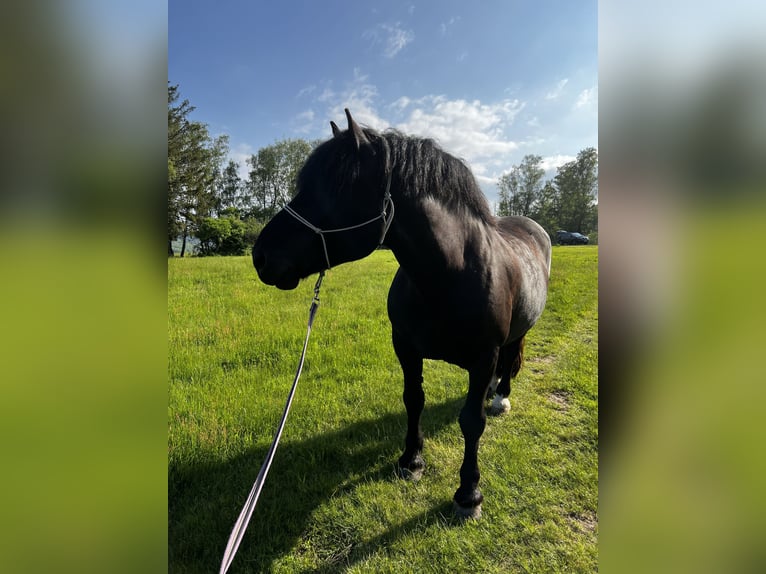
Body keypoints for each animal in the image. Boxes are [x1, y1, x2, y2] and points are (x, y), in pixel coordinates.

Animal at [252, 109, 551, 518]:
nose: (260, 256)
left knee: (510, 358)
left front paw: (468, 493)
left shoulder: (482, 357)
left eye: (339, 184)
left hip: (515, 335)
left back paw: (500, 396)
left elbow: (471, 422)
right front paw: (411, 460)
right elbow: (414, 400)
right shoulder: (406, 348)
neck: (450, 275)